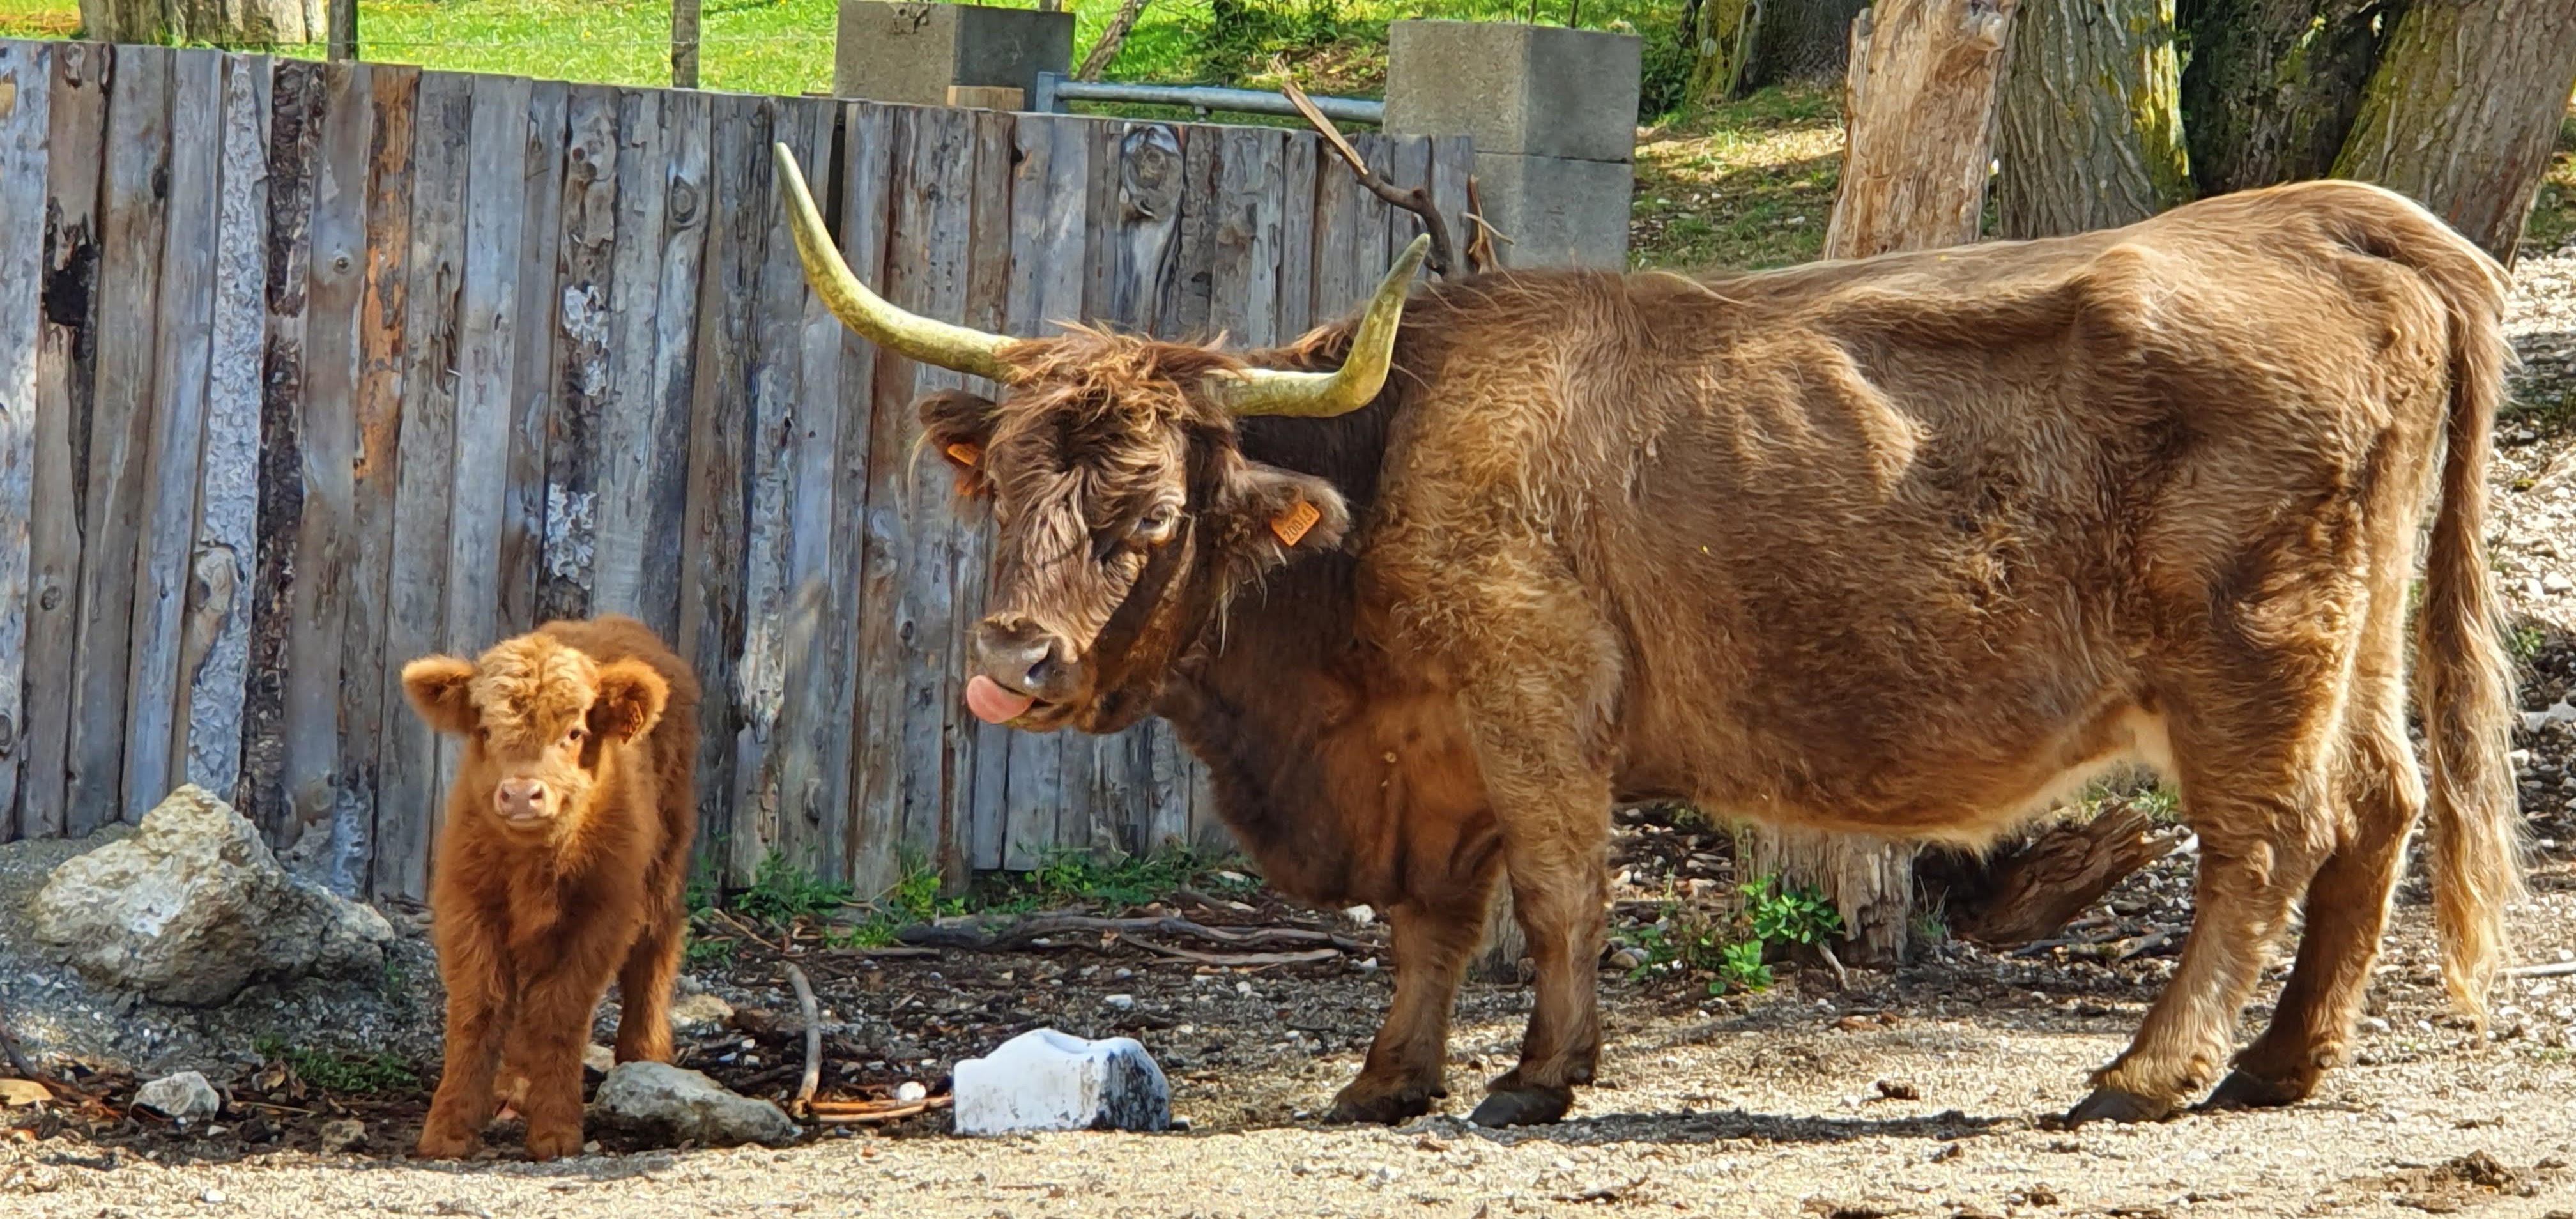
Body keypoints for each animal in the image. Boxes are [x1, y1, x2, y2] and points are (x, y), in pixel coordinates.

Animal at [399, 615, 700, 1159]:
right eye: (485, 729)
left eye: (575, 731)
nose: (521, 794)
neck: (533, 864)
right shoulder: (466, 903)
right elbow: (480, 1006)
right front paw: (449, 1129)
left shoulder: (603, 913)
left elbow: (561, 1010)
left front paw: (557, 1131)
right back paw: (513, 1087)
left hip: (666, 859)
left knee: (655, 950)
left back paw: (645, 1056)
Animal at [772, 144, 2521, 1129]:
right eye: (1003, 489)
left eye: (1146, 518)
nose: (1014, 663)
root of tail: (2330, 220)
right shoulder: (1435, 760)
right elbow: (1429, 921)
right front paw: (1388, 1077)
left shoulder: (1536, 714)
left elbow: (1553, 895)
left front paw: (1540, 1075)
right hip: (2353, 651)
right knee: (2380, 812)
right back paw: (2280, 1065)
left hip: (2252, 660)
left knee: (2264, 844)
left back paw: (2147, 1074)